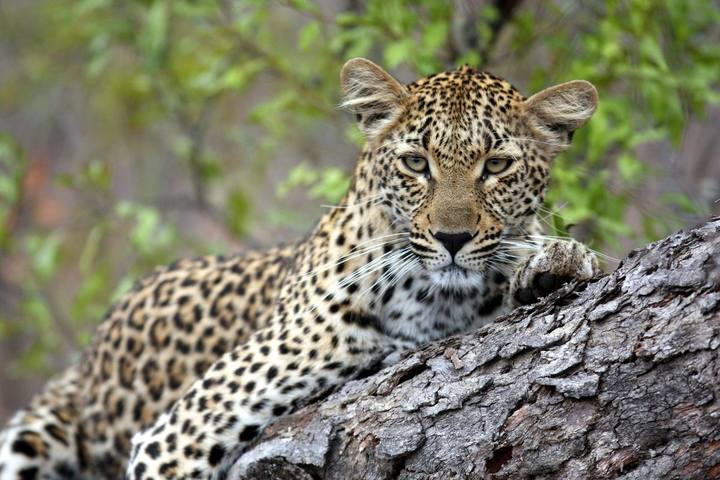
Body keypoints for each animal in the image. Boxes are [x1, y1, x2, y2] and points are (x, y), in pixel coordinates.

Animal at [0, 57, 600, 480]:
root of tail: (86, 360)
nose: (452, 239)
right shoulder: (176, 436)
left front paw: (557, 260)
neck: (437, 303)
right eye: (416, 162)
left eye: (496, 166)